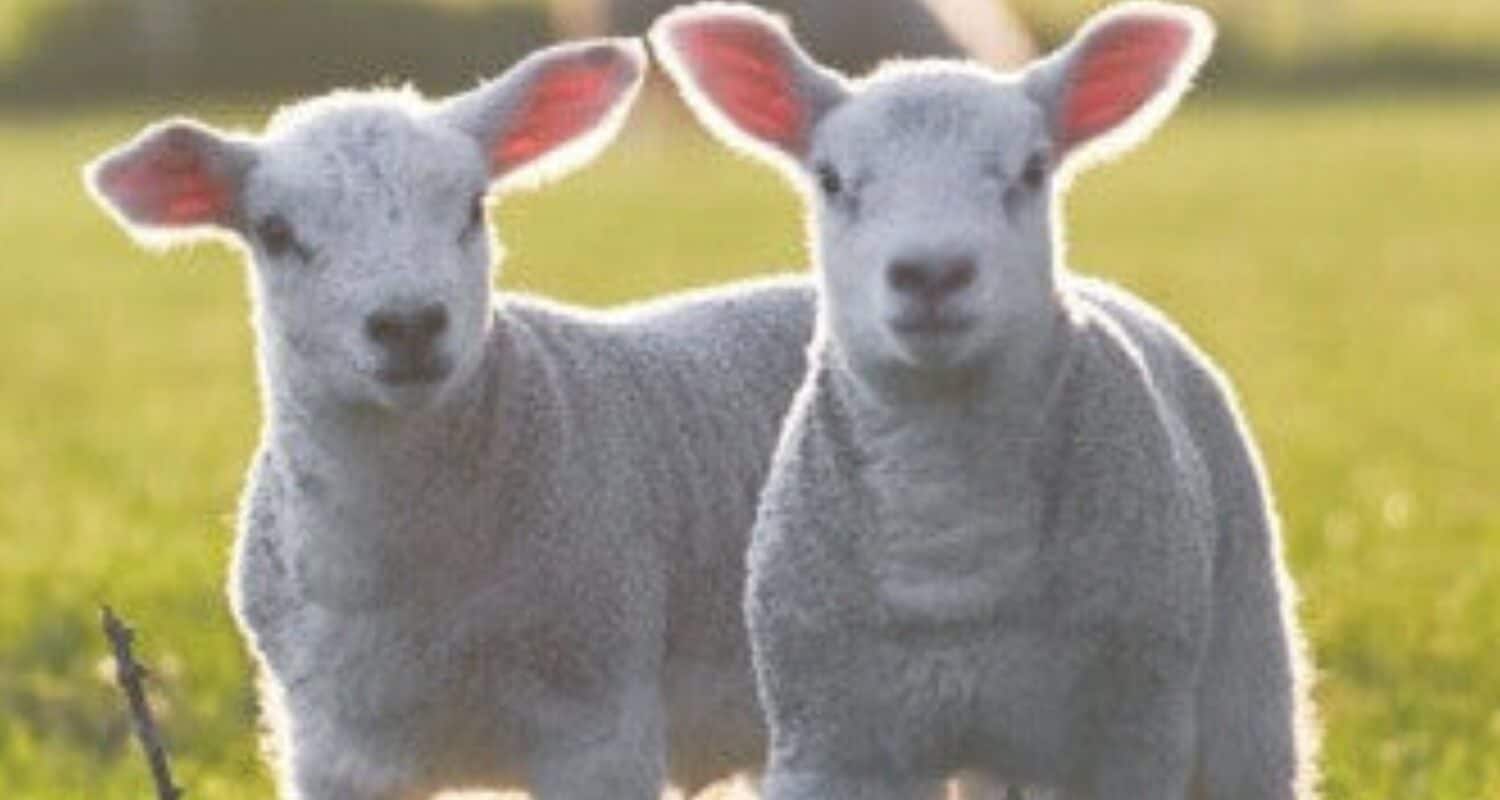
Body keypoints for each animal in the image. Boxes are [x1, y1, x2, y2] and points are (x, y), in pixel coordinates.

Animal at [652, 3, 1318, 798]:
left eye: (1032, 170)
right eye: (831, 179)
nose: (932, 273)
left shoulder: (1125, 728)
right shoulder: (834, 734)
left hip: (1241, 661)